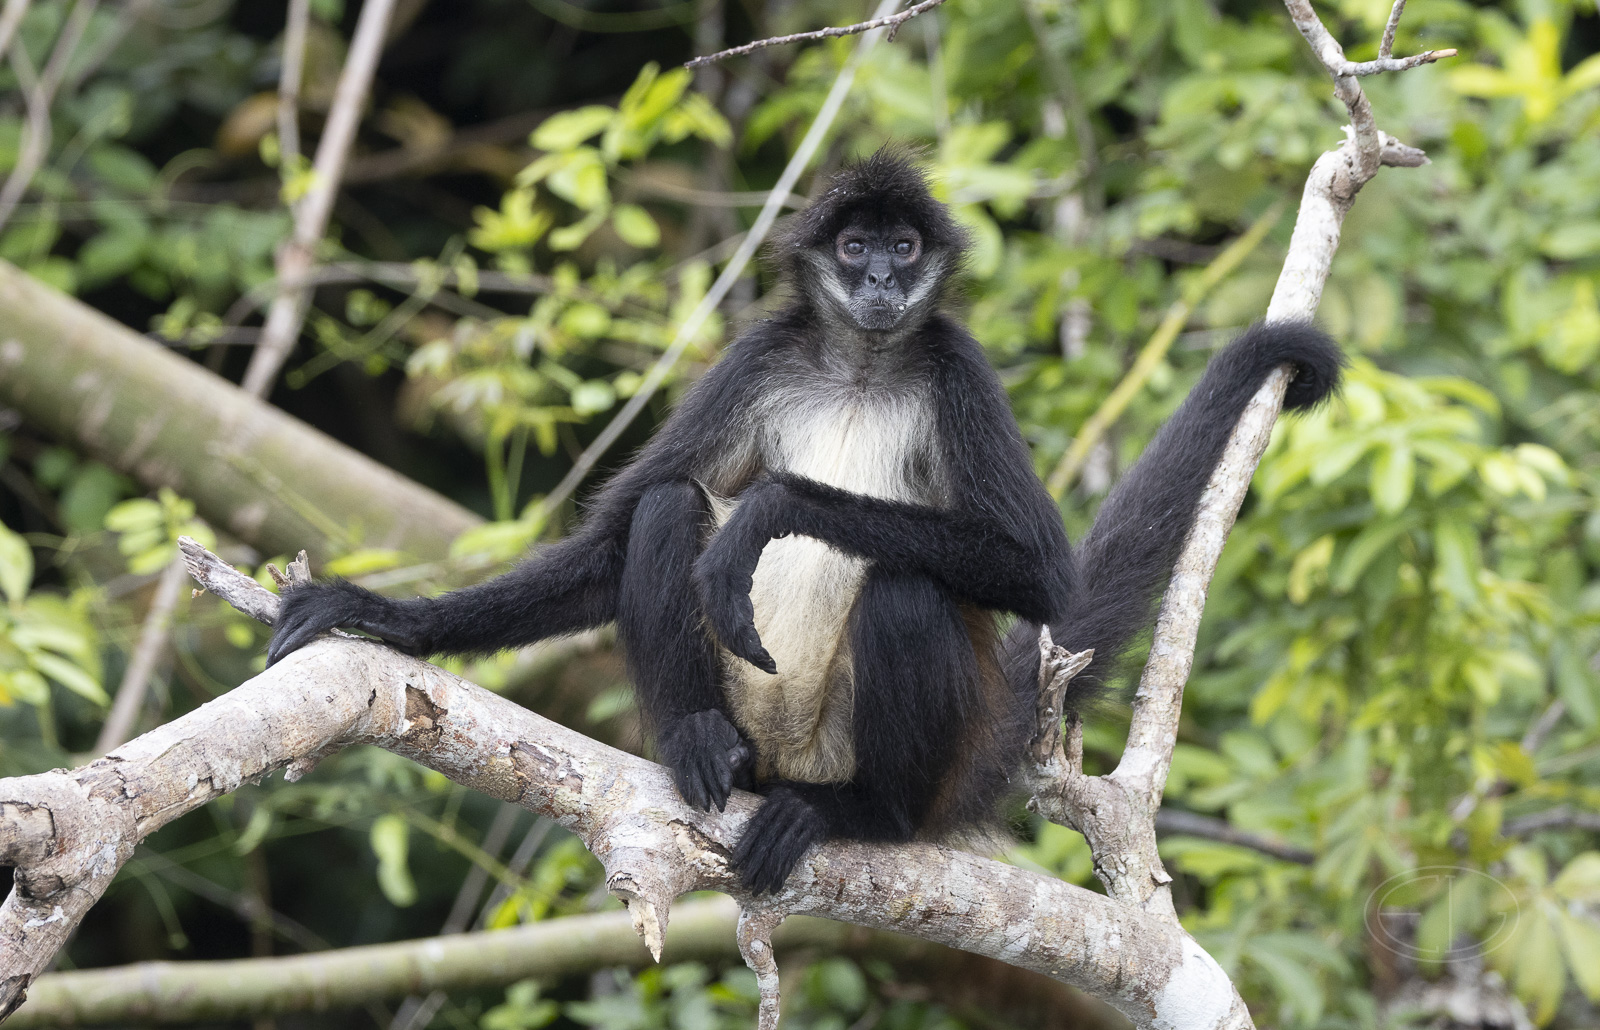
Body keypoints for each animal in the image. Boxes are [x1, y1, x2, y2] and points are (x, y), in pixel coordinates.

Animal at [266, 150, 1342, 895]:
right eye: (854, 248)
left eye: (904, 248)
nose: (879, 284)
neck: (860, 367)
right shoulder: (762, 353)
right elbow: (617, 539)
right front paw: (389, 618)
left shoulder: (957, 367)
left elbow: (1038, 572)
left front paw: (776, 508)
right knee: (668, 508)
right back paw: (701, 744)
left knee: (906, 586)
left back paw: (861, 813)